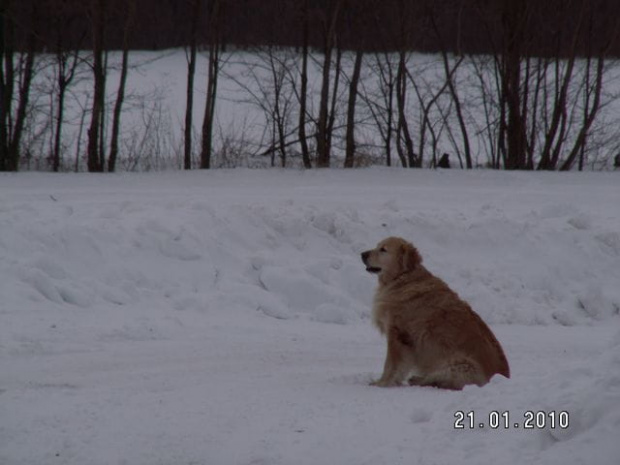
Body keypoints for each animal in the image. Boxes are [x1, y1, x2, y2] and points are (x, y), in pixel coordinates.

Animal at [360, 236, 512, 388]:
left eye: (383, 249)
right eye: (377, 246)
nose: (362, 254)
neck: (403, 278)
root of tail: (503, 377)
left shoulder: (397, 334)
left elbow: (391, 364)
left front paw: (383, 383)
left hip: (459, 365)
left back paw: (419, 379)